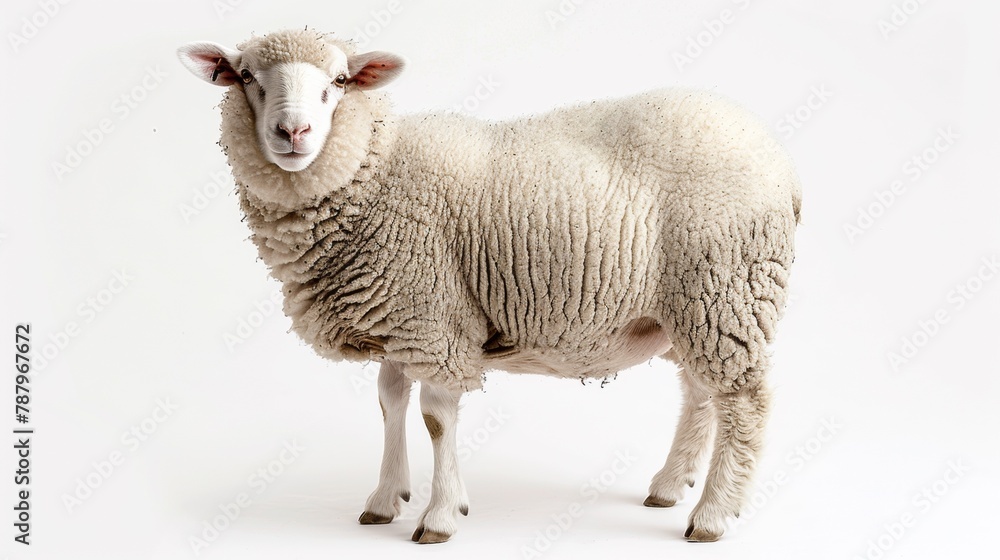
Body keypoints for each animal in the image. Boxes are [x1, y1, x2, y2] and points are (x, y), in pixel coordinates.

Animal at [177, 28, 801, 544]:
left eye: (338, 82)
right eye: (247, 78)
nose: (293, 131)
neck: (376, 171)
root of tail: (777, 159)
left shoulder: (432, 316)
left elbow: (435, 414)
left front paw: (440, 516)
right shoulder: (400, 311)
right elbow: (389, 400)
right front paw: (384, 499)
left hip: (725, 287)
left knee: (742, 400)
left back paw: (713, 515)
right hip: (690, 305)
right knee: (701, 391)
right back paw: (671, 486)